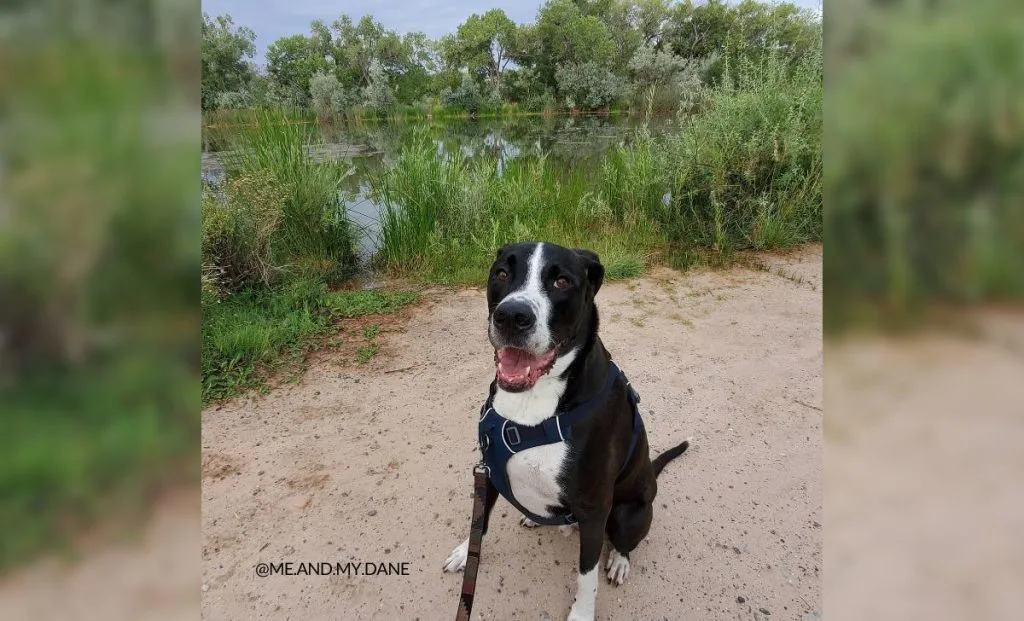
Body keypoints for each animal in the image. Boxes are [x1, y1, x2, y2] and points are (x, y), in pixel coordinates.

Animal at [442, 240, 692, 618]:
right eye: (501, 273)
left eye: (562, 281)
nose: (512, 316)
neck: (533, 404)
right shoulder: (489, 473)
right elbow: (479, 521)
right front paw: (462, 552)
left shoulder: (594, 509)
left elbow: (586, 575)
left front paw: (582, 612)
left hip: (627, 512)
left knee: (624, 541)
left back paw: (620, 560)